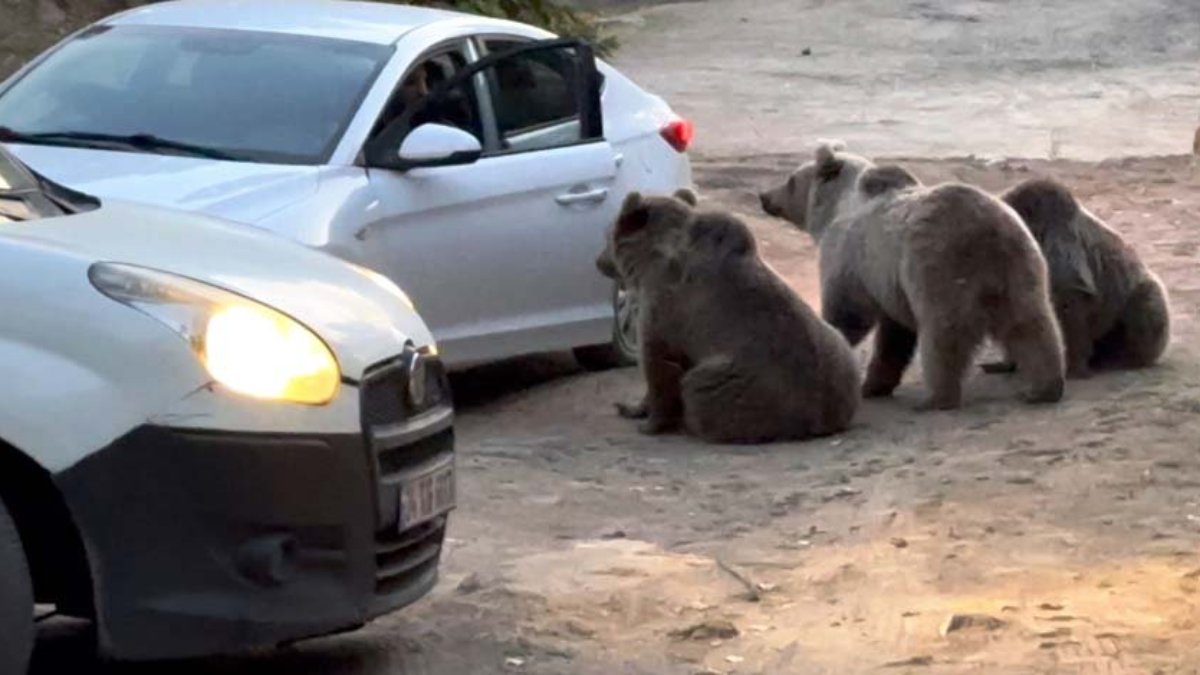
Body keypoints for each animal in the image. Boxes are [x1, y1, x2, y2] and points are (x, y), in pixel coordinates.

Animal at [592, 189, 859, 441]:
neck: (647, 262)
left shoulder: (664, 306)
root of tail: (824, 419)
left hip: (744, 381)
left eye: (607, 234)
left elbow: (658, 363)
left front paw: (646, 419)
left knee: (698, 389)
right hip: (837, 350)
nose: (599, 261)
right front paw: (632, 408)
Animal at [753, 144, 1065, 408]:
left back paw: (937, 397)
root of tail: (989, 231)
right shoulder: (890, 282)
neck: (834, 210)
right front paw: (875, 385)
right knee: (1033, 326)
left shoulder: (852, 259)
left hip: (939, 267)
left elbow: (849, 313)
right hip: (1020, 268)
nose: (764, 196)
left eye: (791, 179)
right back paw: (1044, 387)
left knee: (943, 335)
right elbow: (894, 337)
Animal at [984, 176, 1171, 374]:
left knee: (1146, 300)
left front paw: (1071, 366)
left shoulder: (1060, 245)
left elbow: (1068, 297)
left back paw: (1127, 357)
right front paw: (1009, 362)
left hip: (1127, 296)